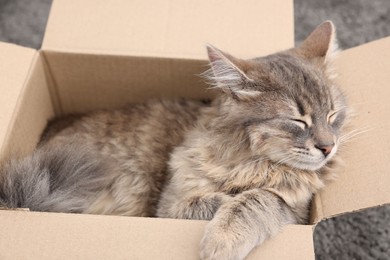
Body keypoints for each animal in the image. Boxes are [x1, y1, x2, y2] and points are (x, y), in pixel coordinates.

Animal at [0, 20, 348, 260]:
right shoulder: (167, 206)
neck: (249, 161)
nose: (328, 147)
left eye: (333, 115)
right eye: (298, 120)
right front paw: (221, 228)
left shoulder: (296, 210)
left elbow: (258, 199)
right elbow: (221, 201)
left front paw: (222, 236)